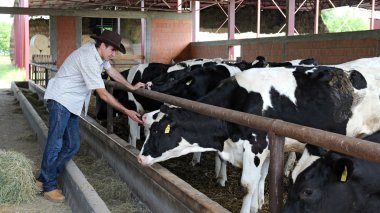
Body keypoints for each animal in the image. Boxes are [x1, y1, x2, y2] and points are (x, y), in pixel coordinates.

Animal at [137, 65, 368, 212]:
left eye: (158, 131)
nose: (139, 158)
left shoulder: (256, 144)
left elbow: (248, 184)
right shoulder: (265, 148)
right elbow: (261, 177)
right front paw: (258, 203)